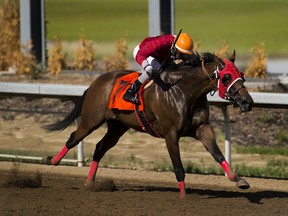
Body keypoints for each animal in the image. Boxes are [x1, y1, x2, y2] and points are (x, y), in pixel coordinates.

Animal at [42, 51, 252, 197]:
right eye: (226, 77)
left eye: (242, 74)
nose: (247, 102)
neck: (185, 91)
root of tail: (96, 82)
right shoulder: (170, 133)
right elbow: (178, 167)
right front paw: (183, 196)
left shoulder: (202, 128)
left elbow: (218, 154)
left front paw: (238, 179)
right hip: (91, 120)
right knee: (73, 138)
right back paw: (51, 161)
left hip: (118, 126)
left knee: (100, 147)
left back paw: (90, 182)